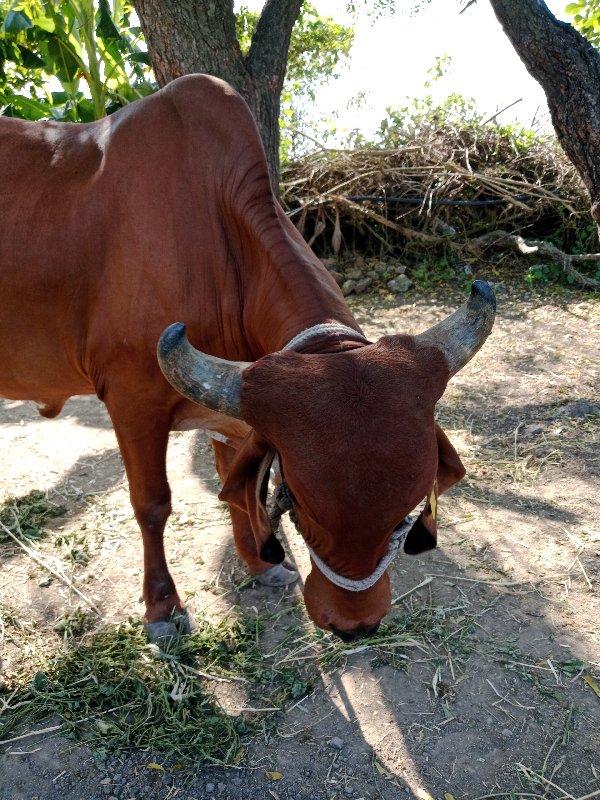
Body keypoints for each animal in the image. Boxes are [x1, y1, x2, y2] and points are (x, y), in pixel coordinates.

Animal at [0, 75, 494, 644]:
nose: (355, 625)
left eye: (405, 514)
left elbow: (236, 488)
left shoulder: (231, 414)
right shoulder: (132, 402)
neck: (216, 244)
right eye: (296, 502)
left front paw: (261, 566)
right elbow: (152, 504)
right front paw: (162, 609)